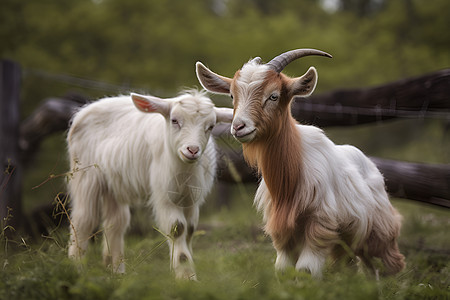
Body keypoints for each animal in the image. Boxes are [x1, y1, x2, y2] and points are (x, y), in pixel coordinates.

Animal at [68, 89, 234, 278]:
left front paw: (186, 269)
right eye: (174, 120)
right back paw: (76, 268)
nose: (192, 150)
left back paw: (116, 271)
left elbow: (190, 229)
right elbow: (178, 228)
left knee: (115, 223)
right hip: (84, 174)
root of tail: (84, 110)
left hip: (115, 184)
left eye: (211, 126)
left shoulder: (192, 198)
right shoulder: (164, 195)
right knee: (84, 219)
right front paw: (185, 274)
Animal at [195, 48, 406, 276]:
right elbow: (283, 270)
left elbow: (306, 270)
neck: (291, 177)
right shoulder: (282, 231)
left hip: (380, 233)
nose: (239, 127)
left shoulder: (320, 224)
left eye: (273, 96)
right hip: (347, 244)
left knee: (392, 263)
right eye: (233, 95)